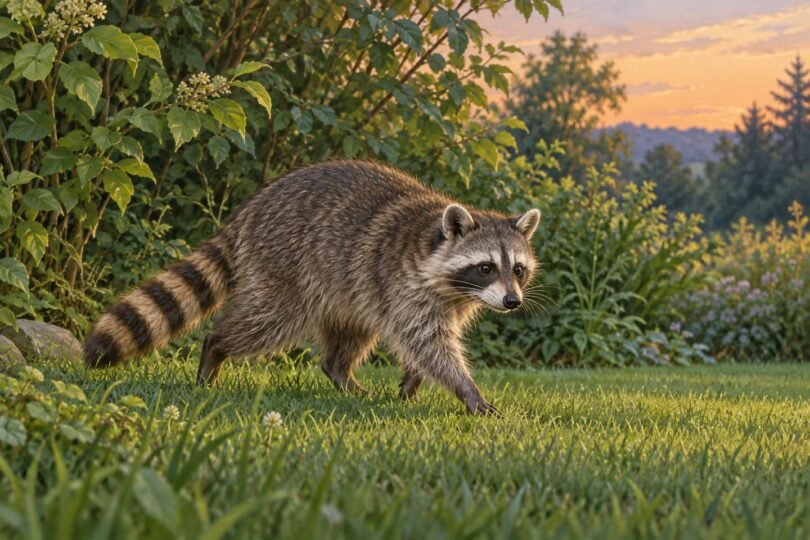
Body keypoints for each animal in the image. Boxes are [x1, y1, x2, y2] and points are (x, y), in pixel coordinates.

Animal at [84, 160, 541, 415]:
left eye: (517, 270)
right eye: (485, 267)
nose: (512, 302)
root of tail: (249, 209)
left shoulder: (447, 298)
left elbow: (427, 342)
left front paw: (414, 379)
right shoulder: (402, 283)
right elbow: (426, 341)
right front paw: (467, 390)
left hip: (348, 286)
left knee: (350, 334)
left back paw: (342, 375)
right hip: (286, 266)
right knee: (267, 321)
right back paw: (216, 348)